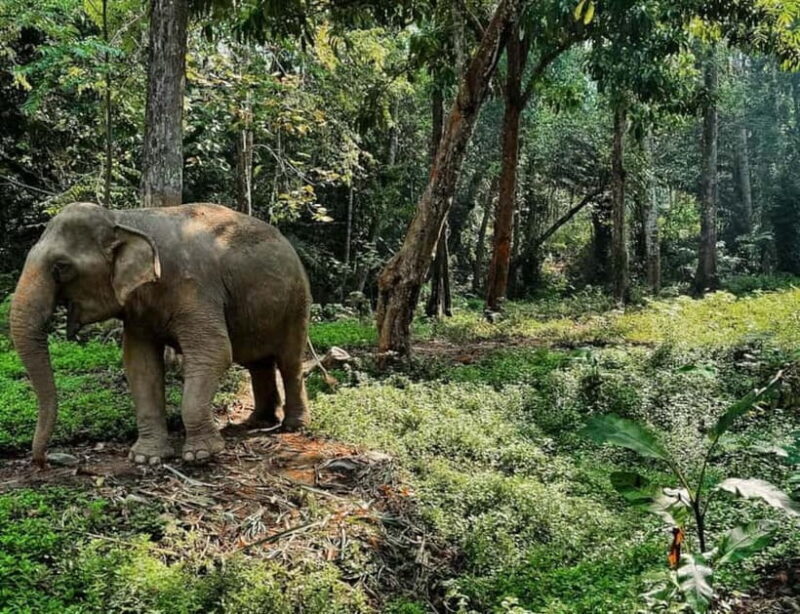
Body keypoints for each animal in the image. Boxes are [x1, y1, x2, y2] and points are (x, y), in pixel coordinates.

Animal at [10, 202, 311, 467]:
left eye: (61, 266)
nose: (42, 462)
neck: (125, 218)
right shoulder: (138, 311)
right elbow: (140, 365)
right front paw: (146, 458)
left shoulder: (195, 287)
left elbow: (214, 352)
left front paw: (201, 455)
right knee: (257, 362)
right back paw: (258, 422)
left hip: (297, 301)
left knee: (289, 361)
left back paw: (292, 426)